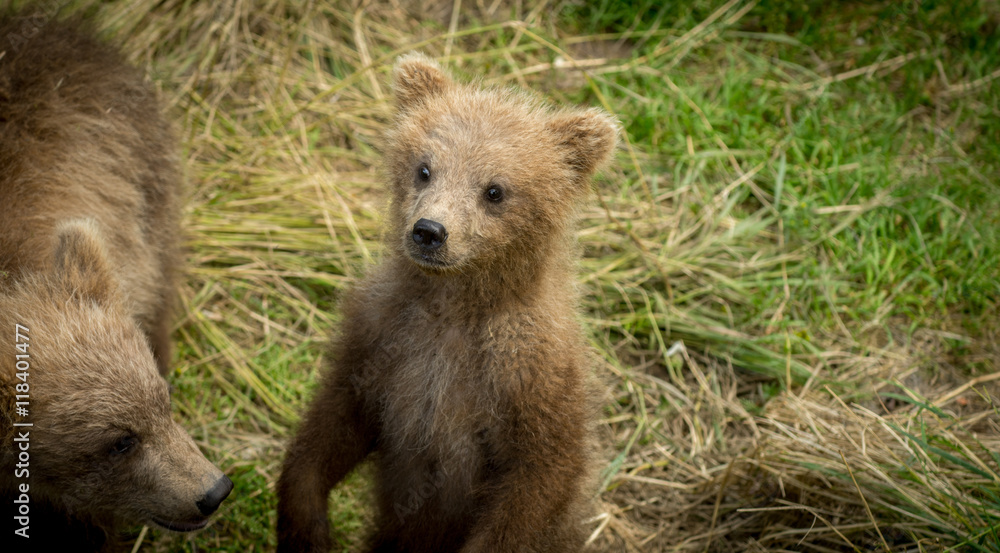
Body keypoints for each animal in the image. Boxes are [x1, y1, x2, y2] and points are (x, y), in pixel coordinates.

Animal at [277, 53, 618, 552]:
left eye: (494, 190)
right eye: (425, 167)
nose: (430, 231)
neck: (452, 310)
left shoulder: (530, 375)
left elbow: (540, 477)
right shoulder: (380, 337)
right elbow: (336, 422)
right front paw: (307, 522)